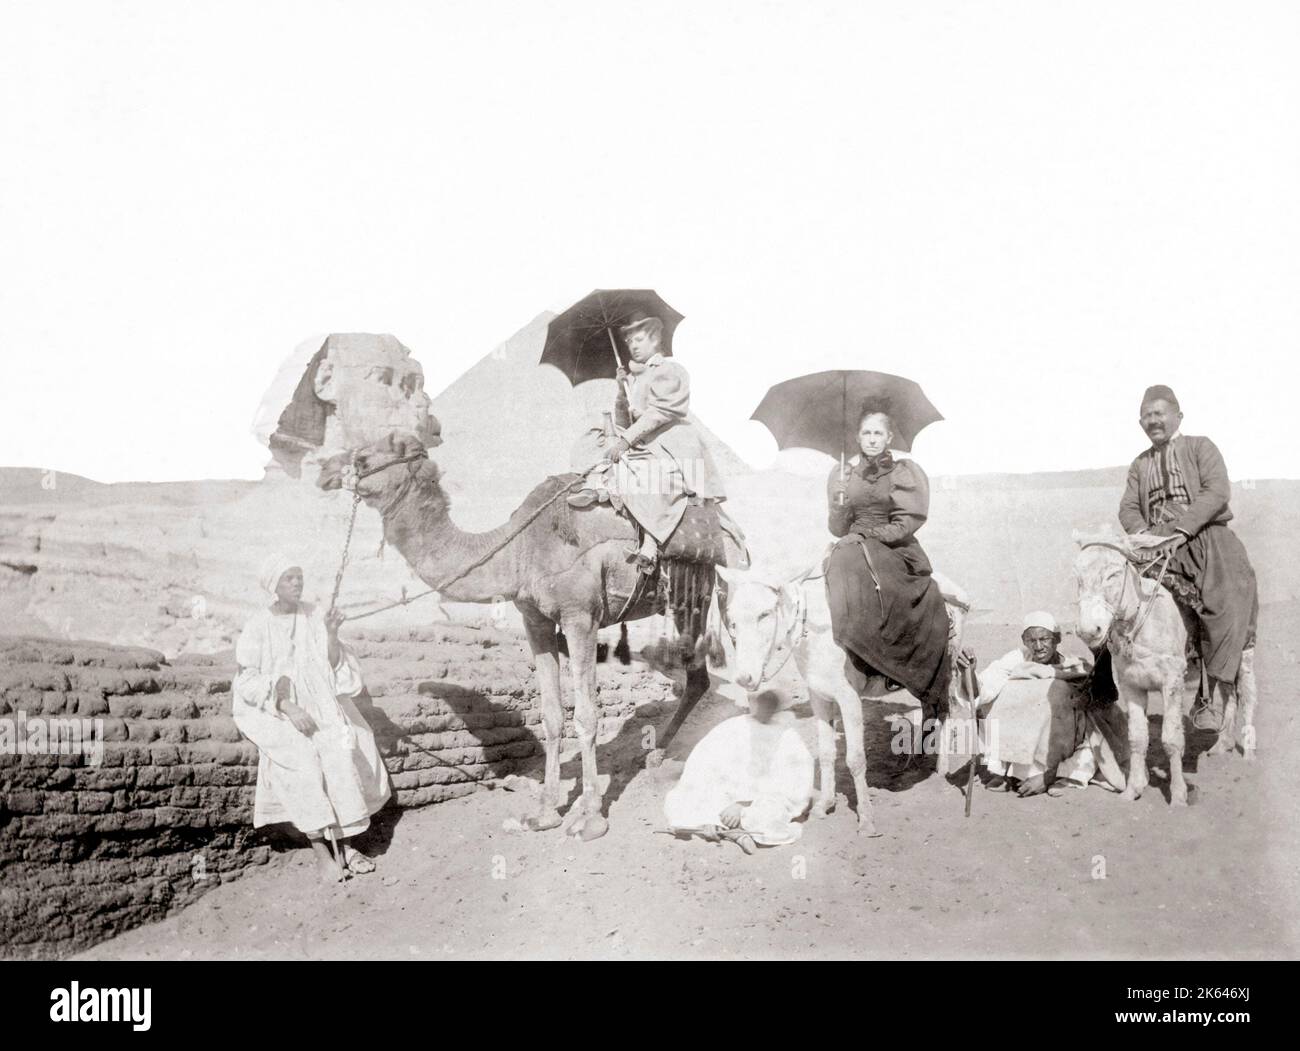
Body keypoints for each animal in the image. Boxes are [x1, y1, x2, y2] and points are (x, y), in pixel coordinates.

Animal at [315, 426, 748, 837]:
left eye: (364, 457)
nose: (323, 470)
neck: (517, 550)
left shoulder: (580, 616)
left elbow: (586, 715)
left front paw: (591, 818)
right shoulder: (535, 621)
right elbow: (552, 715)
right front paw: (544, 813)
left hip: (694, 594)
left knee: (703, 674)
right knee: (698, 677)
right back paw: (656, 751)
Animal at [707, 561, 972, 832]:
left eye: (765, 614)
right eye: (732, 619)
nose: (744, 678)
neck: (817, 636)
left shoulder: (849, 699)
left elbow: (855, 759)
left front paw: (866, 819)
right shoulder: (820, 698)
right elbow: (826, 754)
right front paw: (824, 805)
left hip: (944, 671)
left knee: (944, 712)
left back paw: (941, 770)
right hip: (921, 678)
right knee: (929, 710)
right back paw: (916, 758)